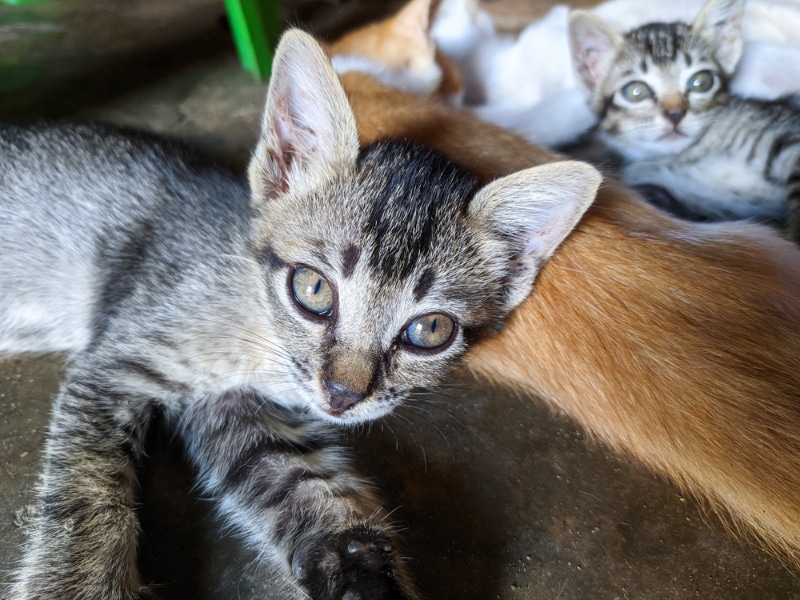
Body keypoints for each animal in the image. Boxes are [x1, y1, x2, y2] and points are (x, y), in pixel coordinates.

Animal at [0, 29, 600, 600]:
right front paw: (75, 586)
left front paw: (364, 577)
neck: (256, 313)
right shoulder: (117, 359)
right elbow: (86, 488)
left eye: (429, 330)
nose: (342, 395)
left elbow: (310, 490)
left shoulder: (235, 410)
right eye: (312, 289)